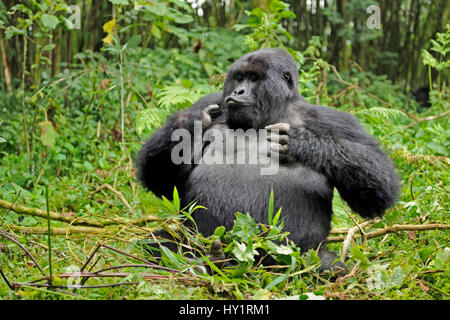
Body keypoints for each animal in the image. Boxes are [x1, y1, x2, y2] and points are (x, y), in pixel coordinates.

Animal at [135, 48, 400, 272]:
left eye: (253, 78)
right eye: (238, 78)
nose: (237, 92)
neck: (271, 113)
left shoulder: (334, 120)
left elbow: (378, 188)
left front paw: (303, 141)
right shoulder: (209, 101)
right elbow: (160, 179)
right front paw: (190, 121)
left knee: (328, 266)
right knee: (156, 244)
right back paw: (202, 262)